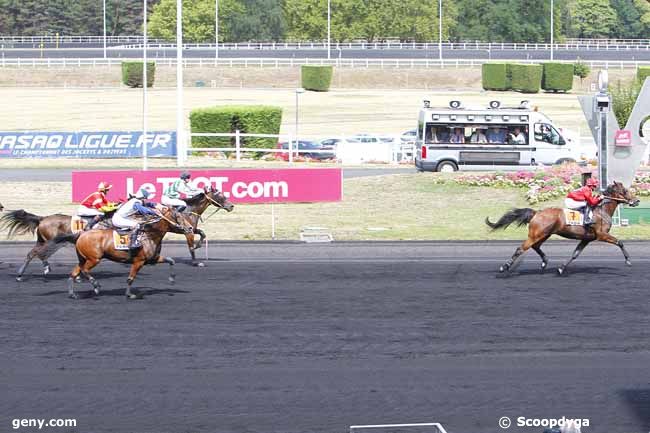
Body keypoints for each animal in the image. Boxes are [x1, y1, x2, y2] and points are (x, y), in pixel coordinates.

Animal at [54, 204, 191, 298]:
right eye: (178, 217)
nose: (190, 228)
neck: (150, 235)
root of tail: (81, 234)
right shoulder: (139, 261)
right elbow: (130, 278)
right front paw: (129, 294)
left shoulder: (153, 259)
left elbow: (171, 260)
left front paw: (172, 280)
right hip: (94, 259)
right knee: (85, 270)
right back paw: (96, 285)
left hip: (83, 258)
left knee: (74, 273)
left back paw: (73, 294)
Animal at [486, 181, 636, 276]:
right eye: (625, 191)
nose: (637, 201)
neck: (602, 211)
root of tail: (536, 212)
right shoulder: (601, 235)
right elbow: (620, 242)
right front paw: (628, 261)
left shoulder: (586, 239)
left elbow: (575, 254)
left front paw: (561, 269)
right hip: (536, 235)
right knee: (521, 249)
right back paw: (504, 266)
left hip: (544, 234)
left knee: (535, 246)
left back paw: (544, 262)